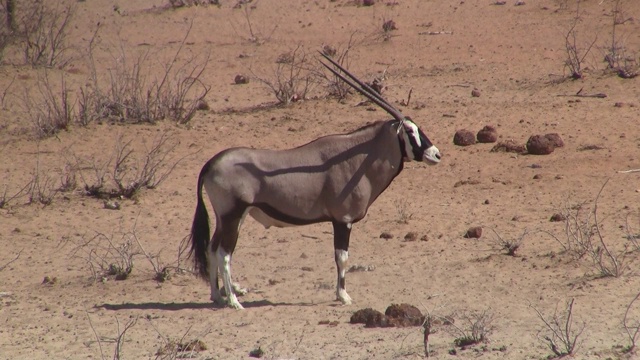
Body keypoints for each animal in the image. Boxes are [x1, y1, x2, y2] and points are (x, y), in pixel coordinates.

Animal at [189, 53, 440, 310]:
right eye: (410, 131)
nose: (435, 154)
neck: (360, 156)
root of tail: (211, 163)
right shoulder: (343, 220)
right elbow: (342, 258)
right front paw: (343, 296)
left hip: (229, 218)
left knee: (212, 248)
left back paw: (217, 296)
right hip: (233, 216)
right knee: (224, 254)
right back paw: (234, 300)